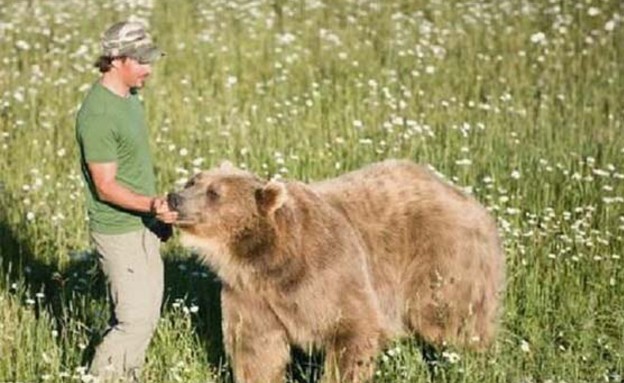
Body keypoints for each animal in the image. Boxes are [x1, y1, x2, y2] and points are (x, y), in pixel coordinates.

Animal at [168, 160, 504, 383]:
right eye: (193, 181)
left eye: (214, 192)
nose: (174, 198)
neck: (268, 260)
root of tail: (472, 201)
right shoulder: (249, 295)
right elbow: (255, 350)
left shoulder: (327, 271)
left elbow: (352, 330)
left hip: (441, 259)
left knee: (450, 319)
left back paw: (475, 361)